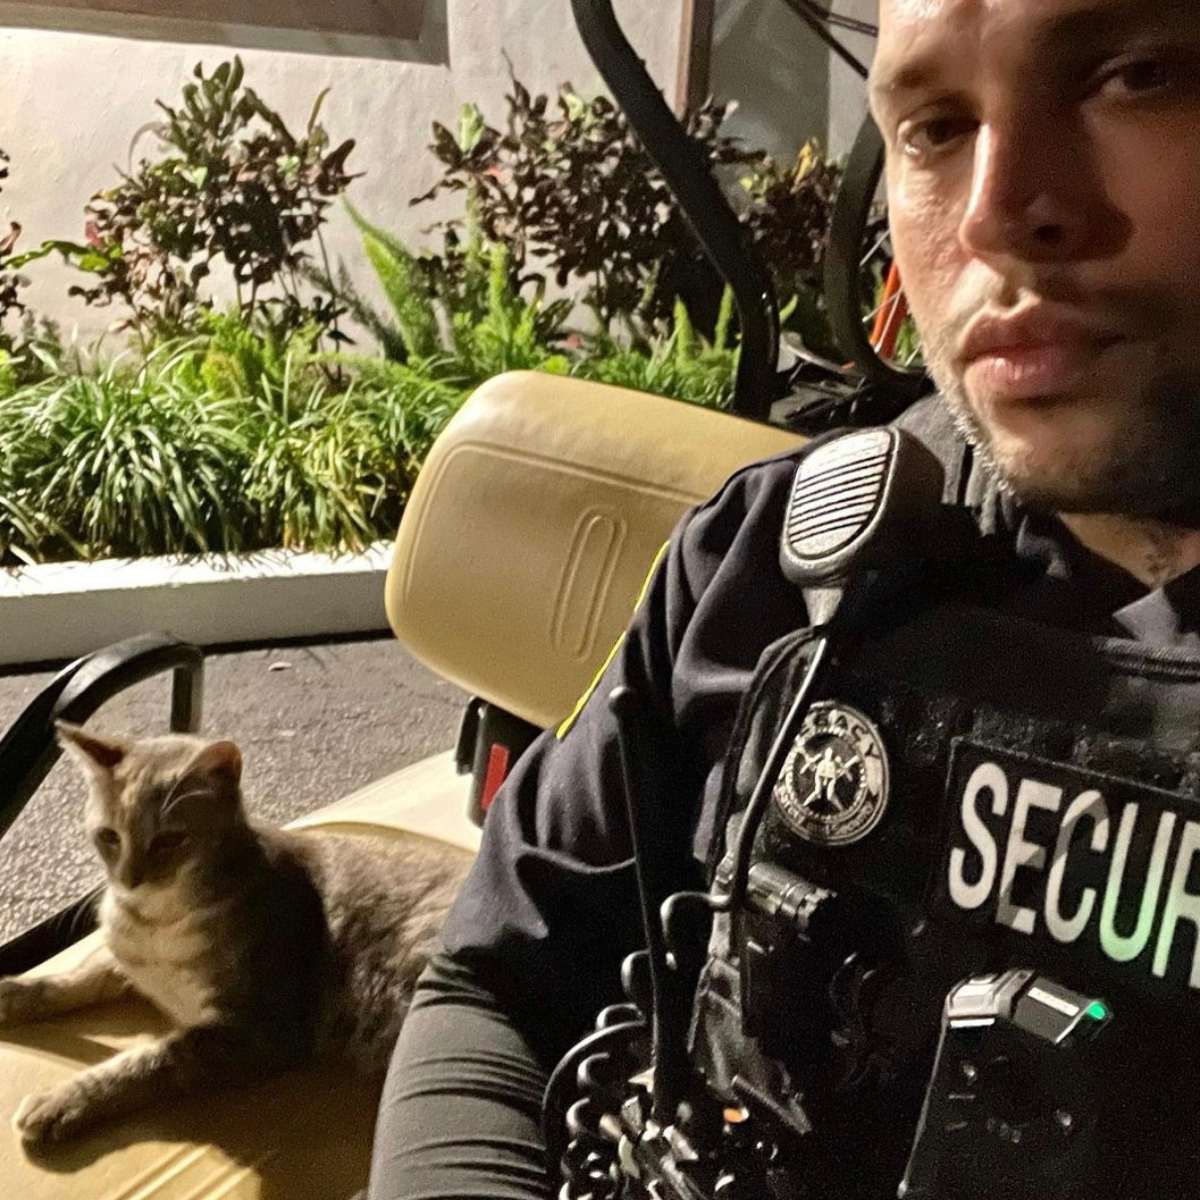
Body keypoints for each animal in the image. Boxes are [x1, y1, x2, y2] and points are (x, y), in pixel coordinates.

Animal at [0, 720, 470, 1142]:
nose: (129, 880)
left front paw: (64, 1099)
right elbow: (79, 977)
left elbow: (152, 1058)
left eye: (169, 840)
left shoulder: (263, 1031)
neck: (154, 924)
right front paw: (17, 992)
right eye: (108, 837)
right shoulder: (125, 962)